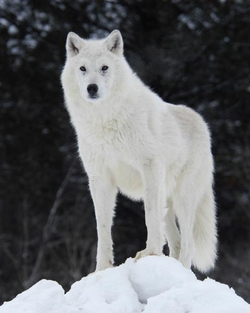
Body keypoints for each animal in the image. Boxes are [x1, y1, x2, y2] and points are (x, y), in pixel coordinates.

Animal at [61, 30, 217, 272]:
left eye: (104, 67)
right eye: (83, 68)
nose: (92, 88)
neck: (105, 121)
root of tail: (201, 122)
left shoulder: (149, 166)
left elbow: (149, 216)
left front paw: (150, 252)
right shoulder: (99, 179)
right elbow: (102, 228)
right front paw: (102, 270)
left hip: (183, 199)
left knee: (188, 243)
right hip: (168, 203)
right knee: (177, 242)